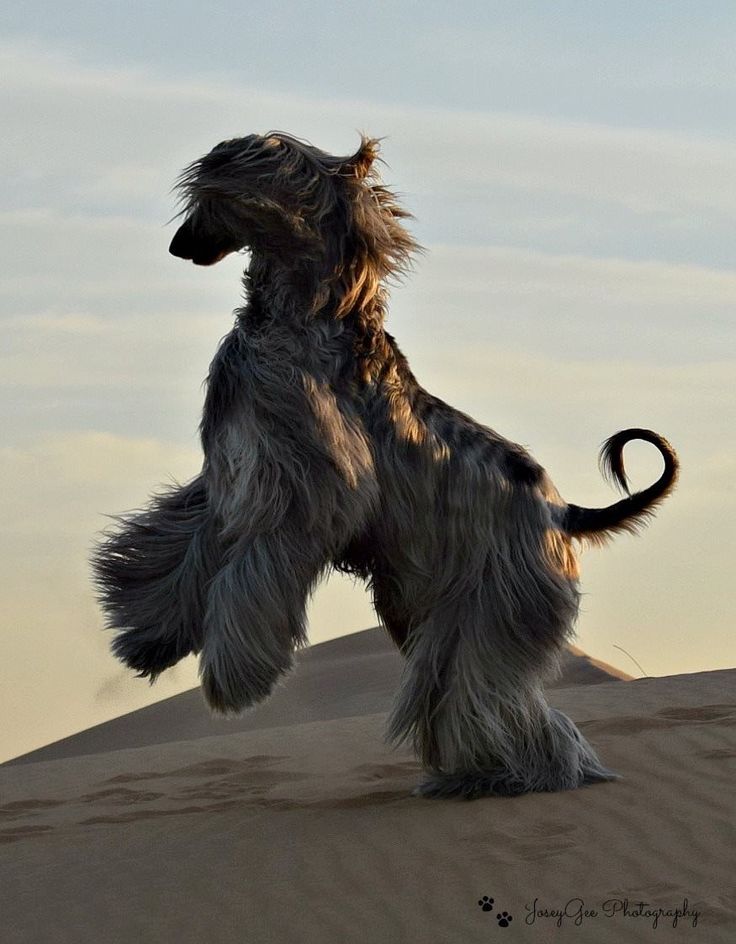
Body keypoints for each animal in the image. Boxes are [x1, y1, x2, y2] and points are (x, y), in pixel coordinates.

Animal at [92, 133, 680, 796]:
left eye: (208, 196)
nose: (178, 245)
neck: (304, 316)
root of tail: (563, 512)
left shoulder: (307, 490)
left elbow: (254, 572)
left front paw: (234, 673)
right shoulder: (234, 474)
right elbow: (181, 549)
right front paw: (148, 638)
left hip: (493, 604)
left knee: (487, 693)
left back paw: (514, 775)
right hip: (426, 603)